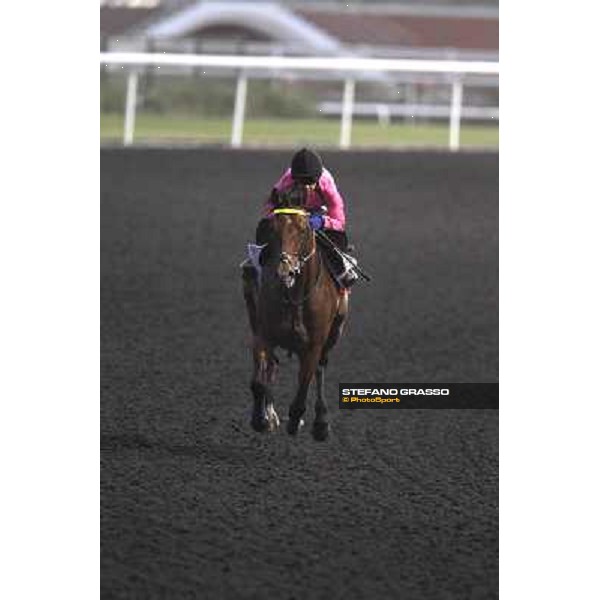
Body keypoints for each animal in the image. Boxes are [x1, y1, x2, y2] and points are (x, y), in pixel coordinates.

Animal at [243, 204, 350, 438]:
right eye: (272, 230)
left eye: (303, 231)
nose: (285, 270)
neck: (294, 297)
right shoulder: (264, 333)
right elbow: (259, 381)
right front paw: (261, 419)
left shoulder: (313, 345)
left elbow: (304, 386)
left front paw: (296, 419)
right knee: (271, 367)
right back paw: (271, 415)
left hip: (335, 331)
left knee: (320, 368)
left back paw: (320, 422)